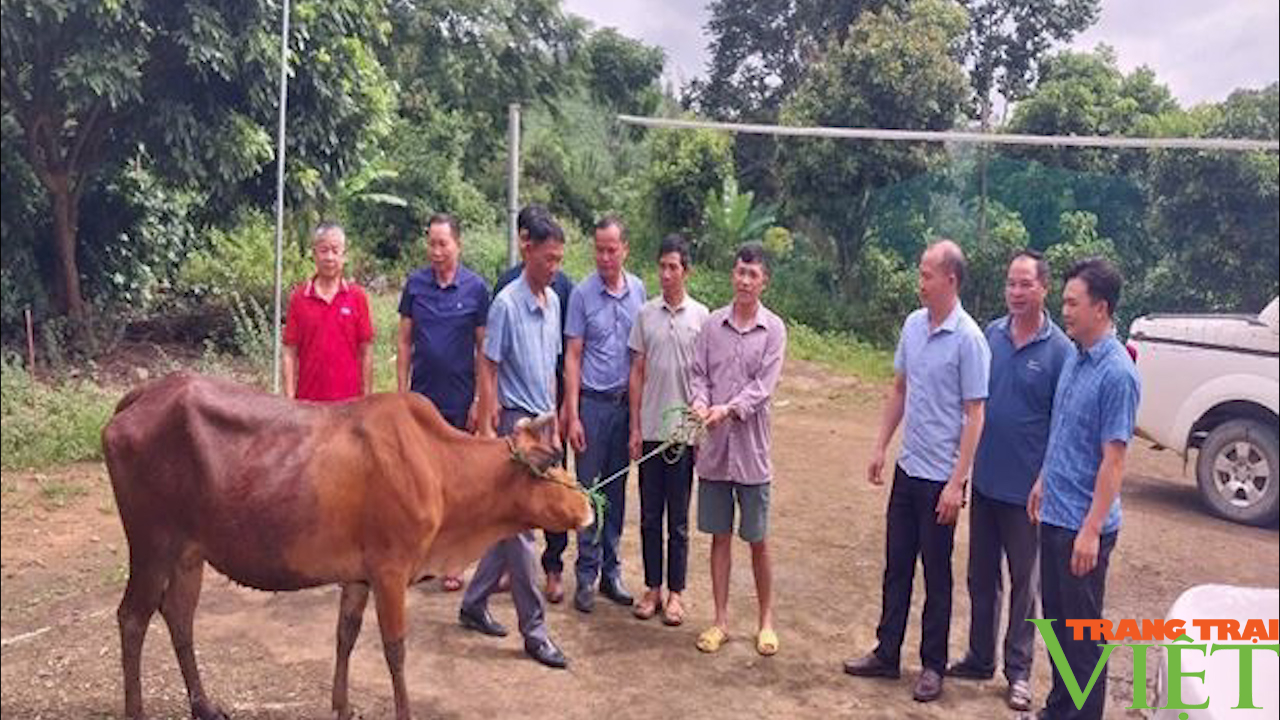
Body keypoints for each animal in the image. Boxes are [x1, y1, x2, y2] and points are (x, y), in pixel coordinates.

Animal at [102, 371, 591, 712]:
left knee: (179, 616)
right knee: (132, 618)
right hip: (151, 542)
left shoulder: (358, 575)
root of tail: (141, 397)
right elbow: (395, 649)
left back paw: (204, 705)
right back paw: (137, 709)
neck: (440, 467)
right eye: (549, 464)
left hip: (189, 552)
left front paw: (341, 705)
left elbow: (345, 635)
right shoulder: (391, 570)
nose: (588, 506)